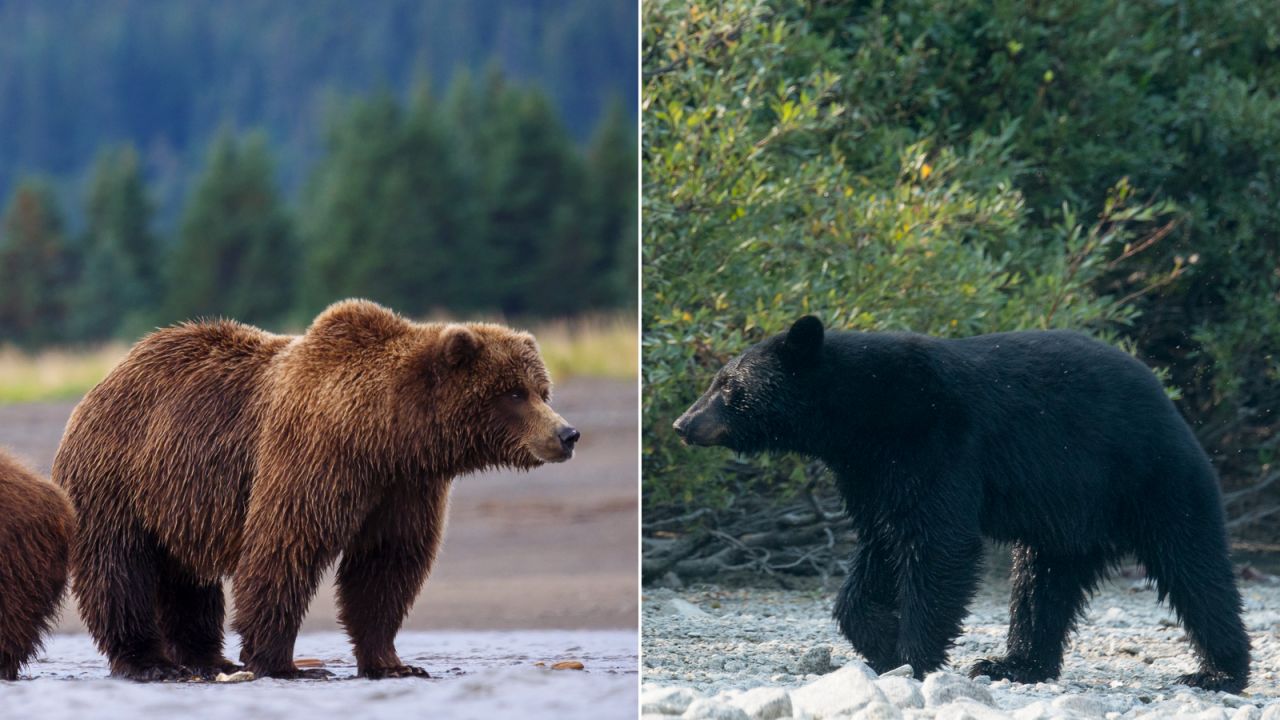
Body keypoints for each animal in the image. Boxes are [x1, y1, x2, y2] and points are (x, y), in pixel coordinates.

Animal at [55, 297, 581, 676]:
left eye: (542, 390)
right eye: (513, 392)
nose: (567, 434)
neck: (386, 434)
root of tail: (105, 379)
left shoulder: (405, 487)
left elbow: (386, 566)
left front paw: (394, 663)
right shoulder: (314, 457)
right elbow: (285, 546)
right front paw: (282, 663)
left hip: (177, 499)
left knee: (187, 578)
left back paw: (205, 658)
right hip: (118, 479)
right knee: (120, 570)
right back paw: (150, 662)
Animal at [680, 313, 1249, 691]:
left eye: (728, 386)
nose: (683, 423)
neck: (862, 412)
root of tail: (1169, 401)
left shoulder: (935, 437)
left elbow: (936, 541)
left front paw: (913, 657)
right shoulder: (870, 472)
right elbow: (879, 546)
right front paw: (880, 639)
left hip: (1150, 478)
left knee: (1194, 568)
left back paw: (1217, 673)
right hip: (1067, 520)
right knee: (1042, 584)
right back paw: (1013, 665)